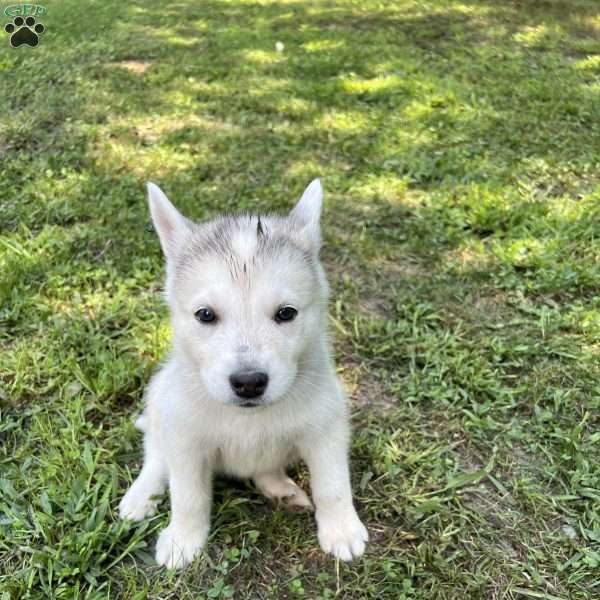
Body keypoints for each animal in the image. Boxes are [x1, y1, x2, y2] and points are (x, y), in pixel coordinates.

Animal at [119, 178, 368, 568]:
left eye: (286, 313)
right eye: (205, 315)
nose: (249, 383)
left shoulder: (326, 429)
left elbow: (333, 486)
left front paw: (341, 529)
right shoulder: (186, 441)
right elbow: (187, 496)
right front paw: (183, 540)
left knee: (263, 467)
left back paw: (281, 489)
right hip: (161, 402)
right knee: (156, 455)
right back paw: (140, 495)